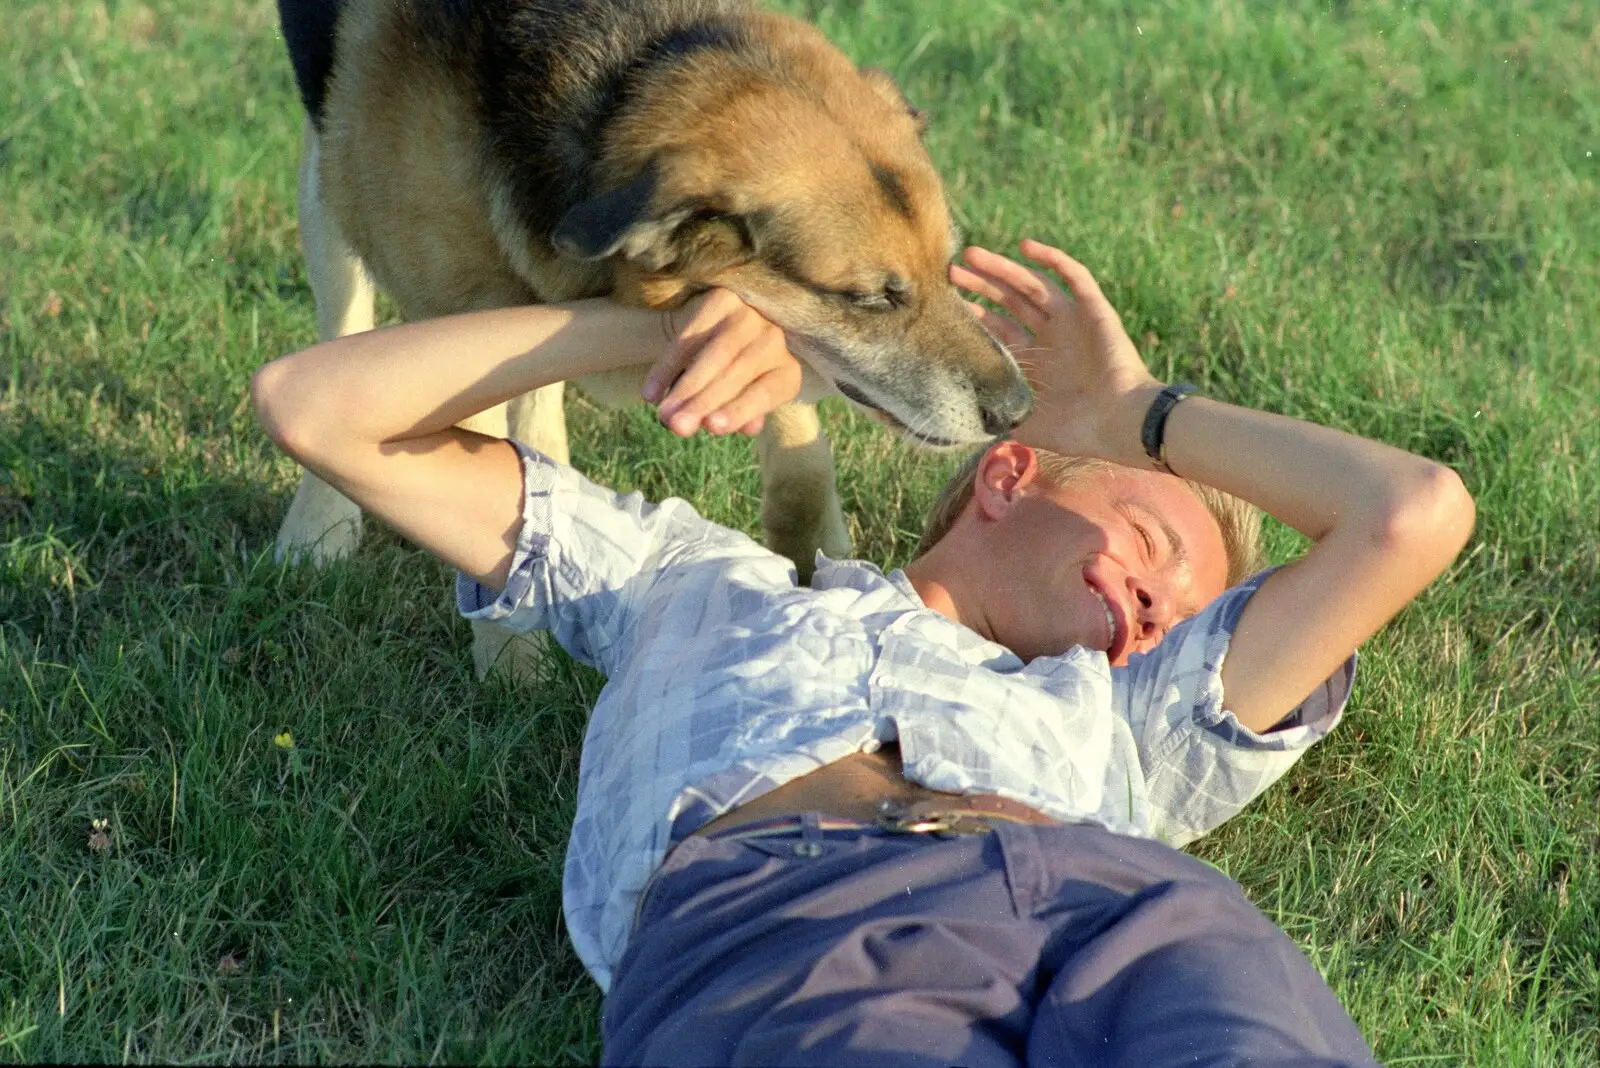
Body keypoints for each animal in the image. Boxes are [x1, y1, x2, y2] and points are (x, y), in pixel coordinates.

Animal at [270, 0, 1030, 671]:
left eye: (948, 266)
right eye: (871, 298)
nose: (1017, 410)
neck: (618, 86)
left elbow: (802, 466)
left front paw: (820, 560)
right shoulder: (456, 316)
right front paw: (514, 663)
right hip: (325, 186)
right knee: (346, 315)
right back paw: (319, 530)